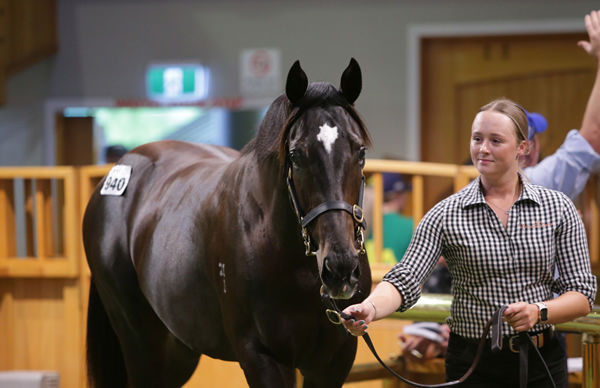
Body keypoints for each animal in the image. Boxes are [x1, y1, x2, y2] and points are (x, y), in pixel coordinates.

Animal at [83, 58, 376, 388]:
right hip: (140, 343)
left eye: (360, 151)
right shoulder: (261, 356)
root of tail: (117, 173)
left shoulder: (333, 362)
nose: (340, 269)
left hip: (178, 350)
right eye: (296, 155)